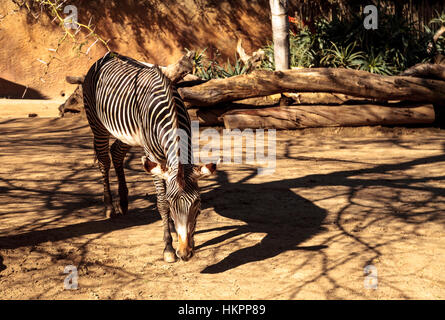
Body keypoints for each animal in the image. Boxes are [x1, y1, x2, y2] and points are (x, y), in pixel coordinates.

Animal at [73, 52, 216, 262]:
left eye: (197, 203)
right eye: (172, 204)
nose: (184, 254)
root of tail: (106, 56)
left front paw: (183, 238)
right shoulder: (153, 156)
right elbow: (161, 201)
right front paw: (168, 247)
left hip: (129, 135)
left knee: (116, 153)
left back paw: (123, 202)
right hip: (97, 124)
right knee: (104, 161)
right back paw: (109, 207)